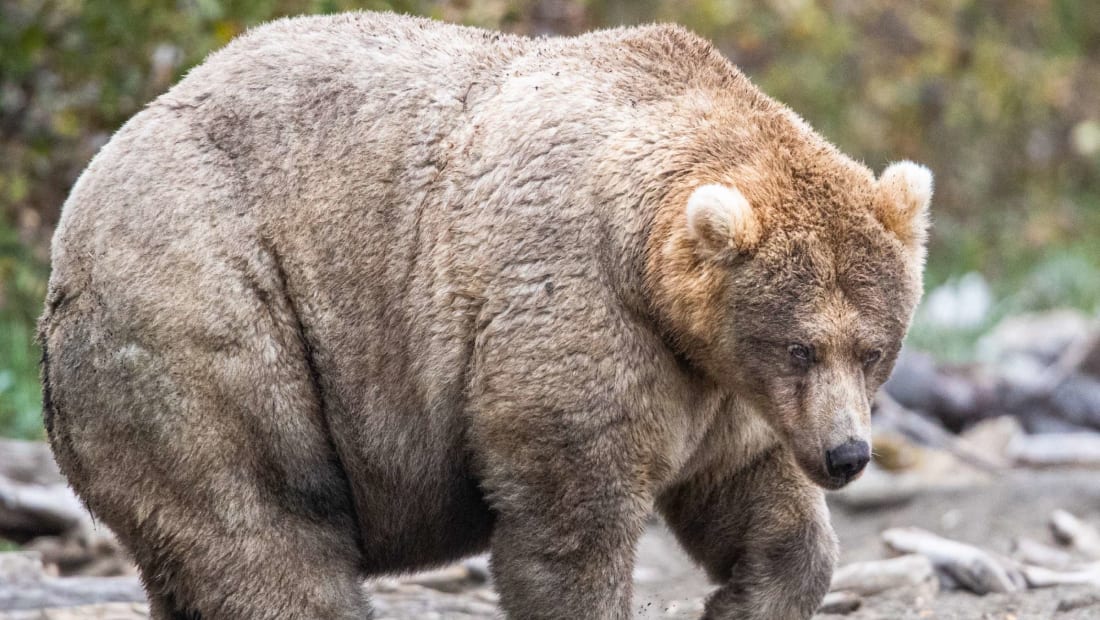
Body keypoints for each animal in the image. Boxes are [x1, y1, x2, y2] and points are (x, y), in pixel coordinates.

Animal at [42, 9, 932, 620]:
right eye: (800, 347)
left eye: (873, 349)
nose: (848, 454)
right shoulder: (578, 308)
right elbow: (572, 521)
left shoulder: (717, 382)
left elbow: (756, 496)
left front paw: (740, 598)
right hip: (210, 315)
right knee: (262, 527)